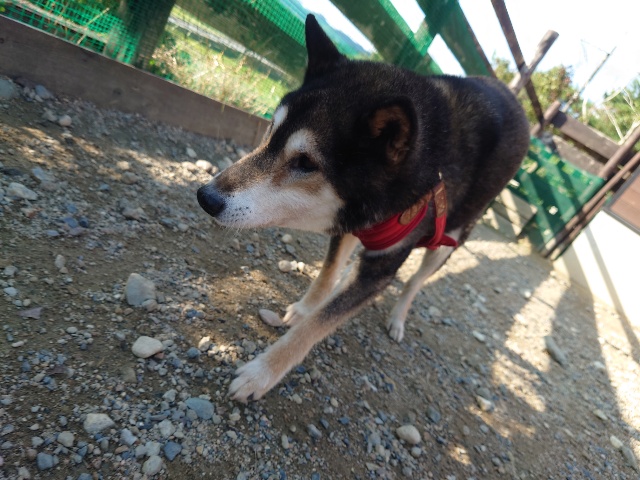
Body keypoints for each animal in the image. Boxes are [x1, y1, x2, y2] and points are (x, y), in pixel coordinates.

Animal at [197, 15, 529, 403]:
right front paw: (307, 307)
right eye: (271, 131)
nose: (206, 196)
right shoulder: (348, 225)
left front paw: (261, 373)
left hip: (449, 240)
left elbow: (317, 326)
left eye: (306, 163)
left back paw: (398, 318)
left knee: (415, 282)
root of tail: (513, 96)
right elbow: (326, 276)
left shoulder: (380, 268)